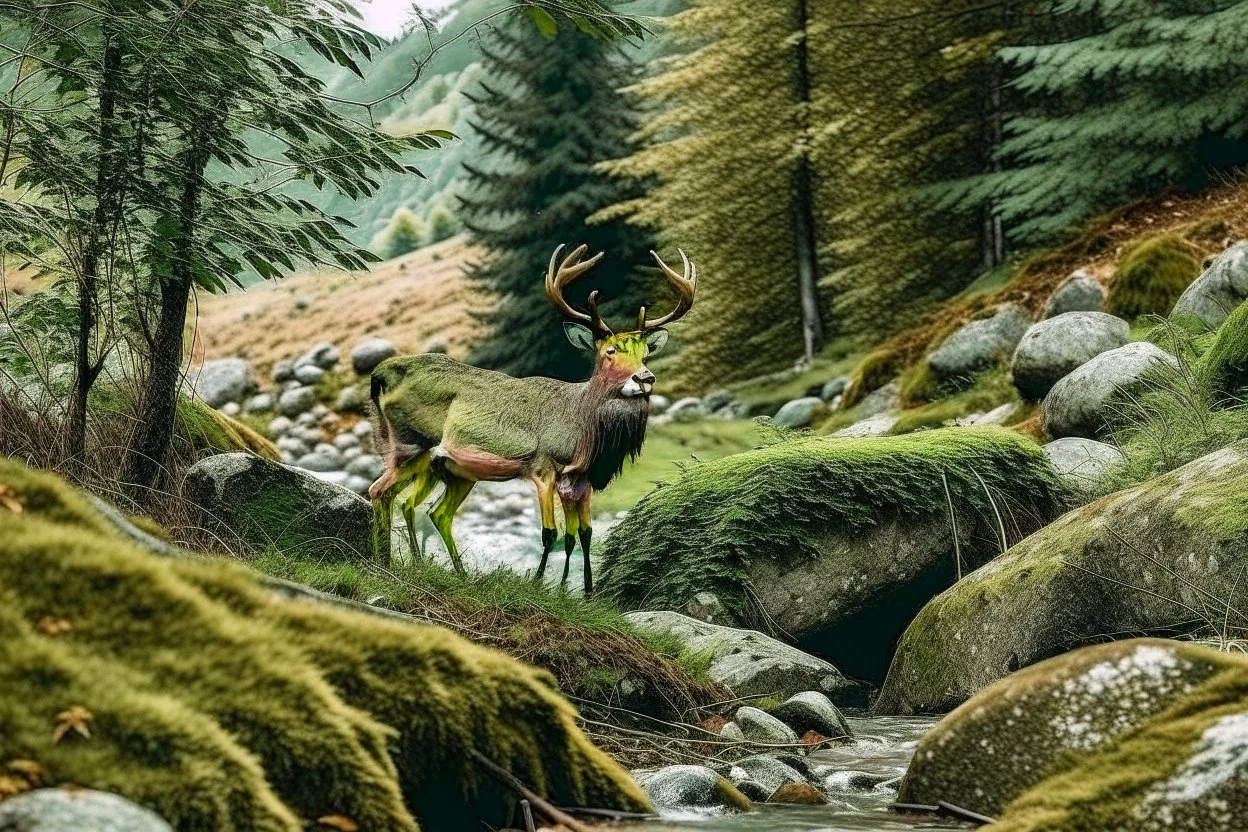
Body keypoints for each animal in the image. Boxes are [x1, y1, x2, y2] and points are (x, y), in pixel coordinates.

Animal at [369, 244, 698, 596]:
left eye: (644, 353)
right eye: (609, 351)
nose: (646, 378)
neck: (582, 434)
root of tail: (380, 373)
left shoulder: (581, 480)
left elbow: (585, 533)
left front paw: (587, 592)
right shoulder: (543, 466)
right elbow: (550, 533)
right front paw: (540, 584)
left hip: (454, 471)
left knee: (432, 511)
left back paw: (443, 570)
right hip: (410, 444)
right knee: (382, 490)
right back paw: (389, 563)